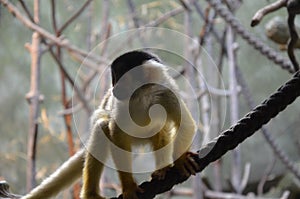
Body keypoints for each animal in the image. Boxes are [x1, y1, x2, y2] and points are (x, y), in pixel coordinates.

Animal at [22, 51, 197, 199]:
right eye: (114, 78)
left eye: (122, 78)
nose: (114, 88)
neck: (142, 95)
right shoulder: (121, 104)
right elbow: (117, 135)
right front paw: (129, 187)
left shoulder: (166, 92)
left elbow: (186, 125)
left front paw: (181, 160)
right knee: (102, 127)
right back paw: (90, 194)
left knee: (160, 130)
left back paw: (162, 168)